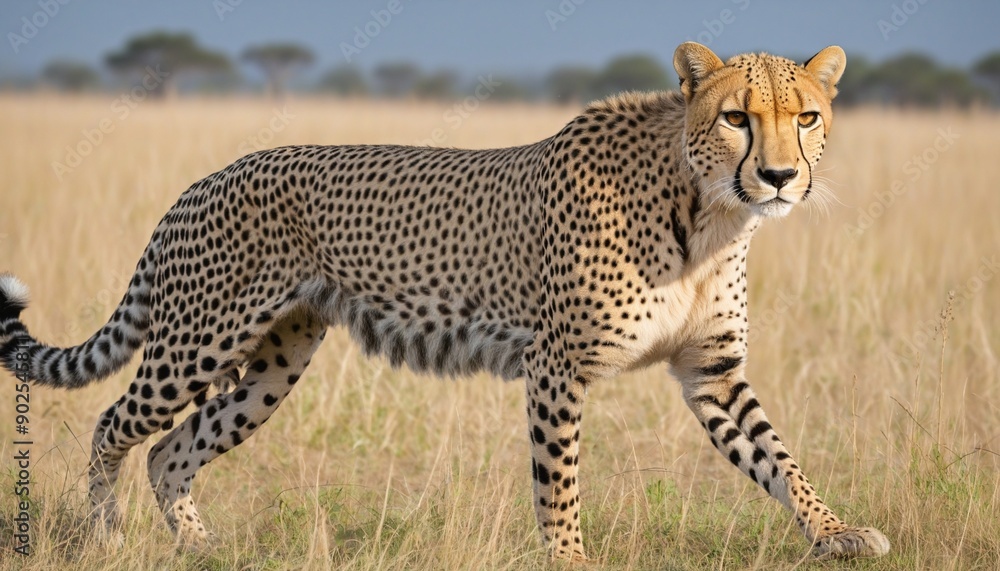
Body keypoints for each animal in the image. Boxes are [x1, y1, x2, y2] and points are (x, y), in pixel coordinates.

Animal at [0, 42, 889, 560]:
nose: (781, 176)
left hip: (272, 366)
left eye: (808, 117)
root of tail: (206, 177)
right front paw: (569, 557)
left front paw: (835, 530)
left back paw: (200, 547)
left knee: (171, 449)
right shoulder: (557, 365)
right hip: (198, 342)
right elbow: (559, 477)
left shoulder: (711, 368)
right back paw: (105, 536)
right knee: (114, 424)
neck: (707, 211)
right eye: (738, 116)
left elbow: (778, 456)